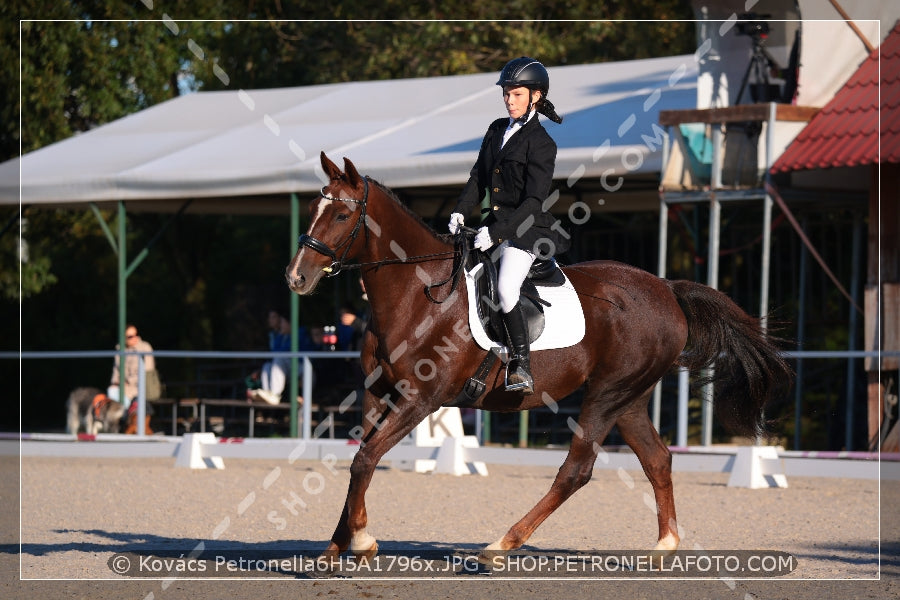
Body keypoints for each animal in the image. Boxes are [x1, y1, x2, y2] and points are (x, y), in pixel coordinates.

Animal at [284, 152, 792, 564]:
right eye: (312, 210)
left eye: (343, 214)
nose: (296, 278)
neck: (416, 294)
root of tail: (666, 288)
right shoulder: (378, 394)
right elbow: (359, 462)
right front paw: (335, 547)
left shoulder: (420, 400)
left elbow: (366, 460)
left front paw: (361, 542)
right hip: (629, 399)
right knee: (657, 459)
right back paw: (664, 546)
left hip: (607, 394)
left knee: (576, 471)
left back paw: (501, 545)